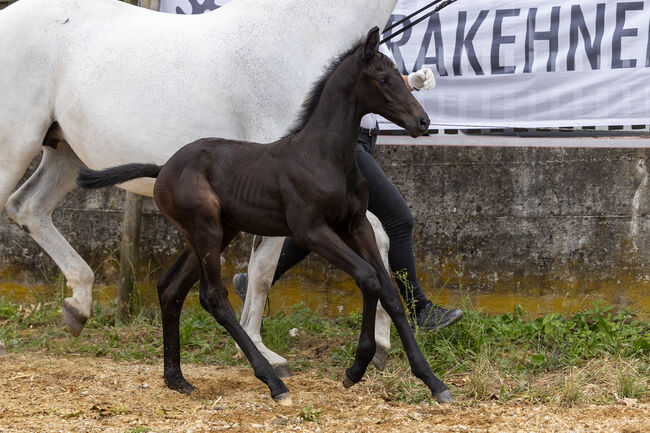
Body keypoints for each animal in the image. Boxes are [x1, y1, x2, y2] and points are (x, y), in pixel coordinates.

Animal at [77, 27, 450, 404]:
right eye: (383, 79)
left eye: (401, 78)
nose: (422, 121)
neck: (325, 156)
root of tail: (163, 168)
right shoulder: (311, 230)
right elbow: (367, 277)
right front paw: (356, 368)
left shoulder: (355, 225)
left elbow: (389, 290)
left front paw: (432, 381)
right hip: (206, 230)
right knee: (213, 297)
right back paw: (273, 382)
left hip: (215, 233)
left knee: (171, 288)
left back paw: (177, 379)